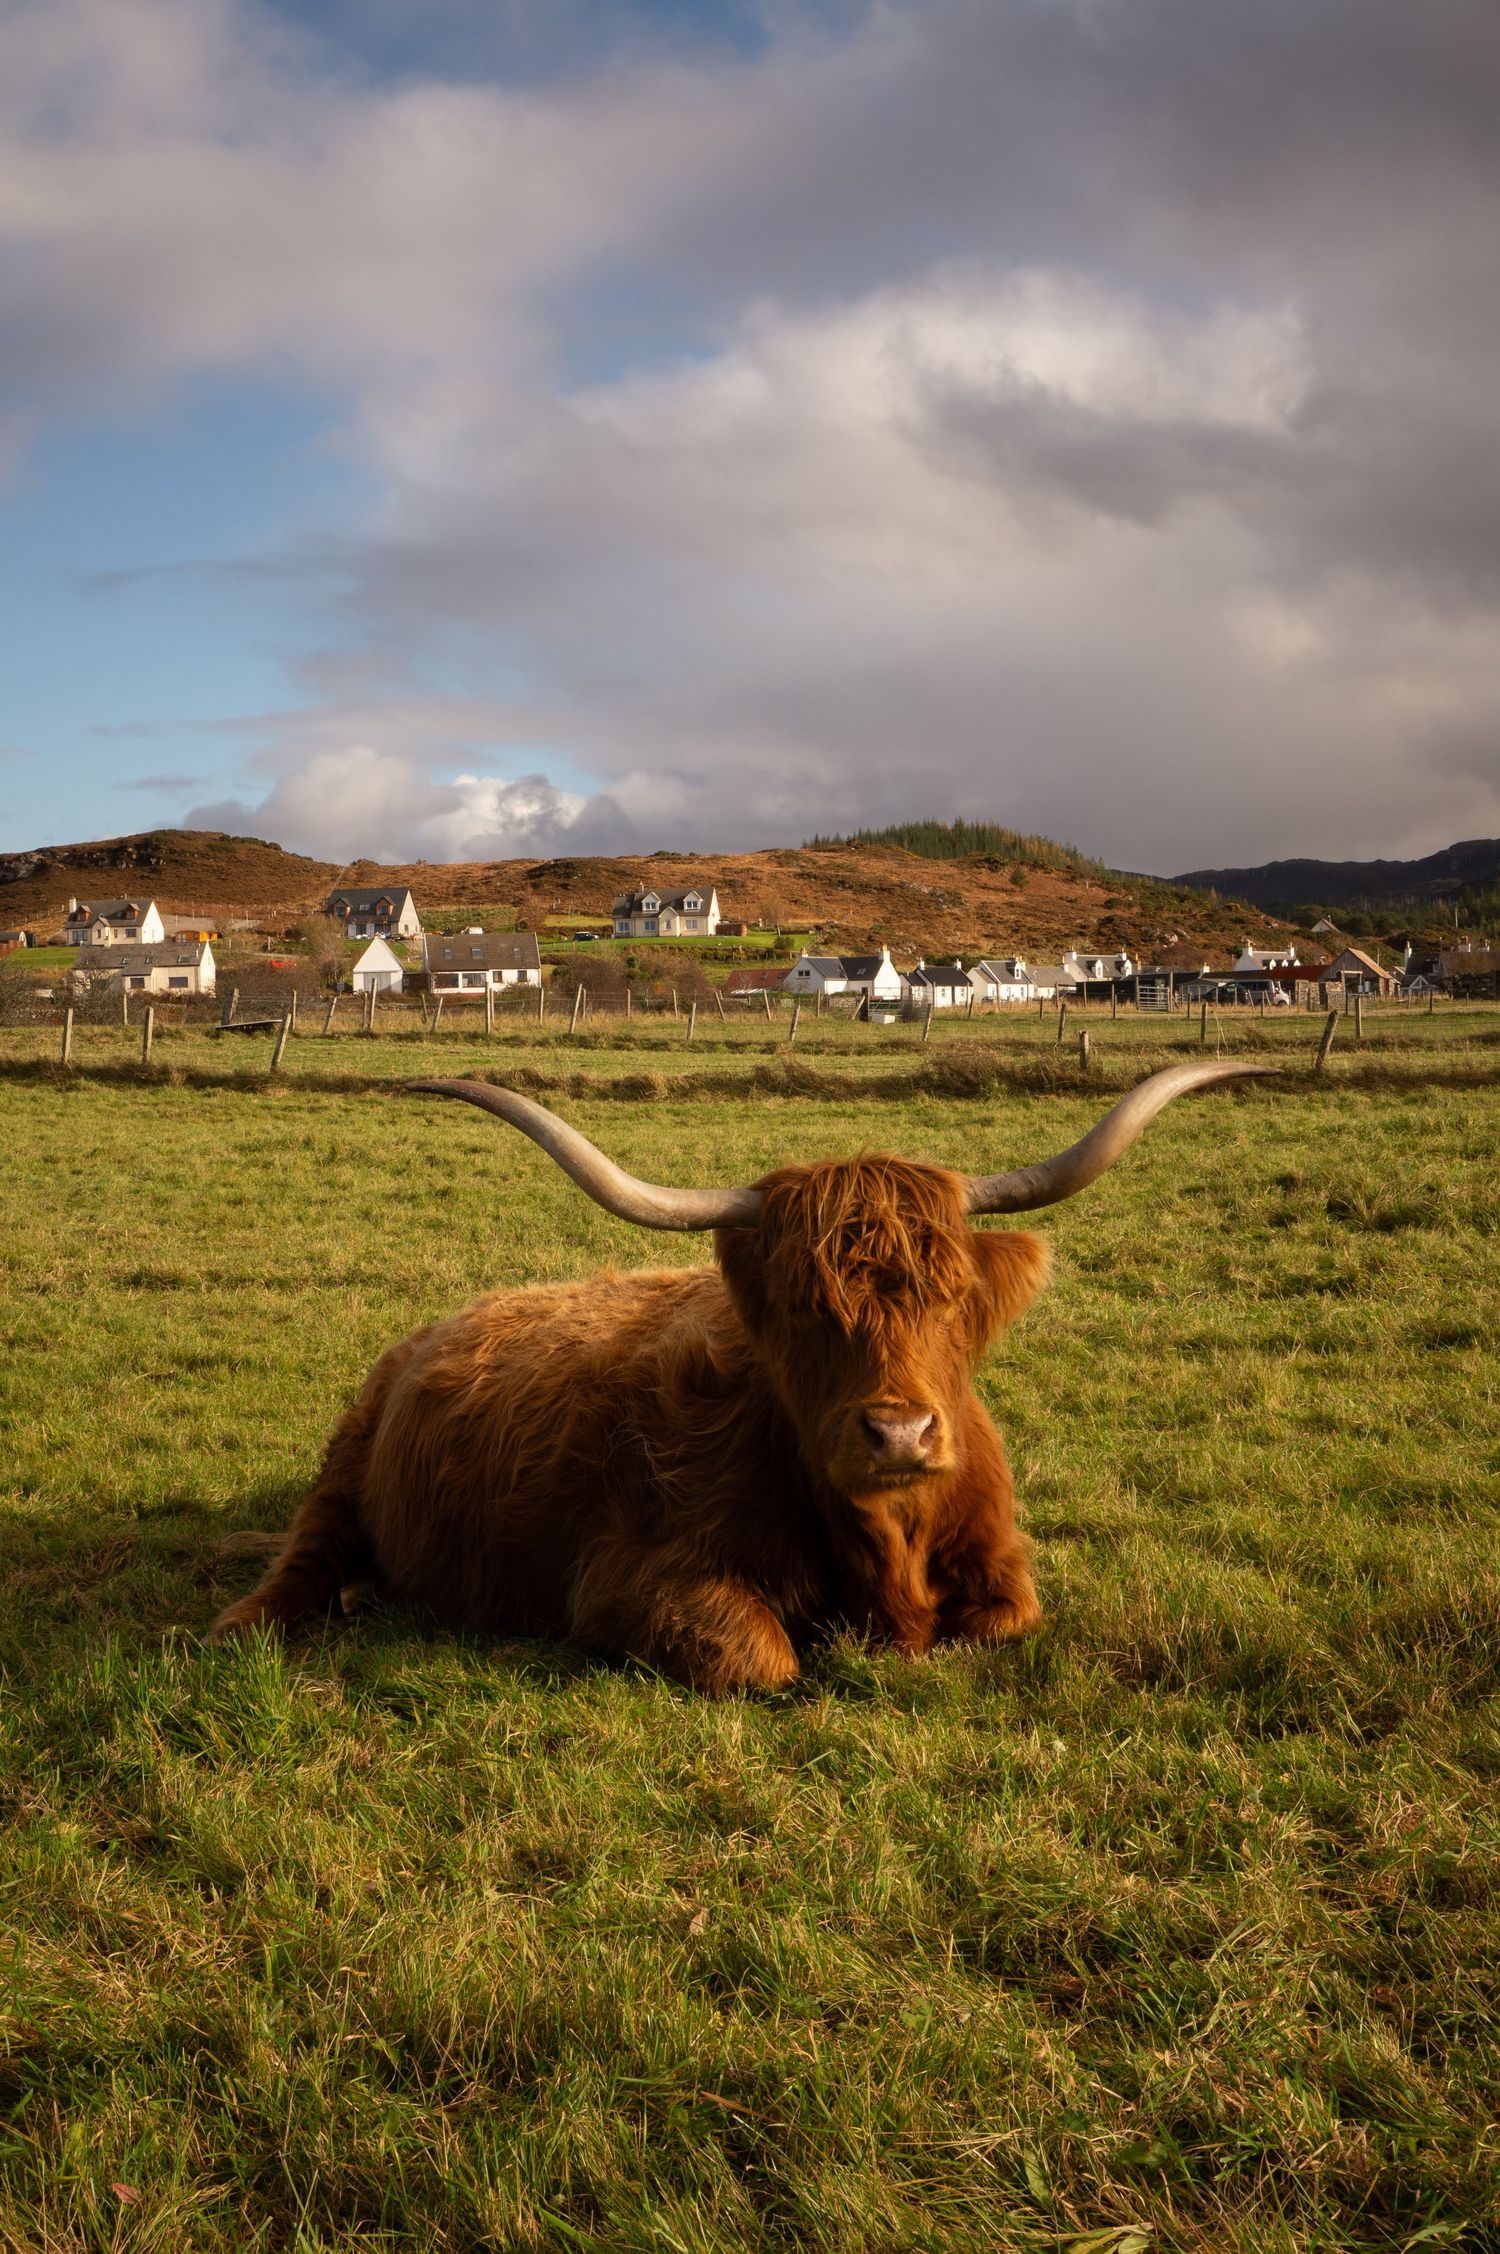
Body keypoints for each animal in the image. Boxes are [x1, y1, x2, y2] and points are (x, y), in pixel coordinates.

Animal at [210, 1061, 1270, 1691]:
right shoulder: (626, 1581)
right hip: (343, 1463)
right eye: (805, 1310)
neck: (889, 1545)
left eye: (951, 1299)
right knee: (299, 1562)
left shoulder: (1003, 1572)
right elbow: (767, 1660)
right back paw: (259, 1621)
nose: (897, 1434)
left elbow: (1002, 1623)